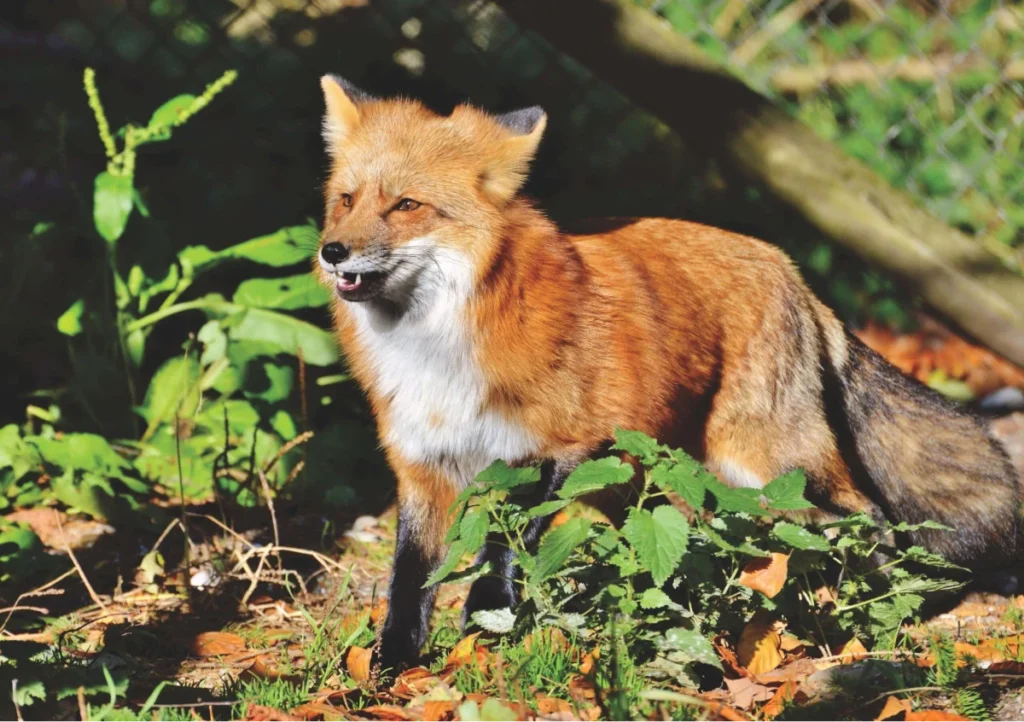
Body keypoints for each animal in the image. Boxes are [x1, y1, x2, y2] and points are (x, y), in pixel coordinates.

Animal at [313, 75, 1021, 674]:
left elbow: (501, 555)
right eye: (346, 200)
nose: (331, 251)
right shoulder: (423, 468)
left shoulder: (555, 449)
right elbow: (409, 584)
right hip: (646, 480)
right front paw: (390, 668)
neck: (437, 347)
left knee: (865, 516)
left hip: (765, 461)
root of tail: (789, 267)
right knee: (706, 542)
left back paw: (867, 611)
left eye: (407, 205)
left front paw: (485, 634)